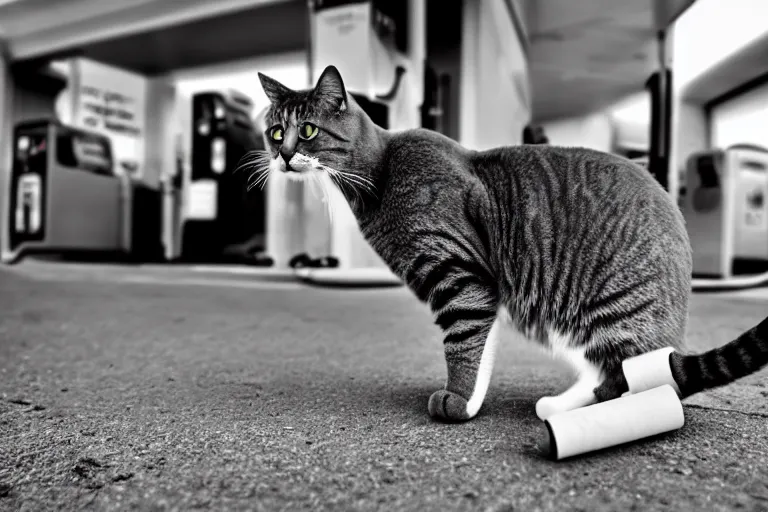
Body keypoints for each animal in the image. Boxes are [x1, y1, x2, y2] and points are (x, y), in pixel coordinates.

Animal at [244, 65, 768, 424]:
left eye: (307, 131)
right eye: (275, 131)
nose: (283, 154)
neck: (379, 174)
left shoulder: (458, 275)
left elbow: (462, 341)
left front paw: (457, 397)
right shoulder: (476, 286)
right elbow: (480, 342)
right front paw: (472, 398)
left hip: (611, 314)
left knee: (632, 380)